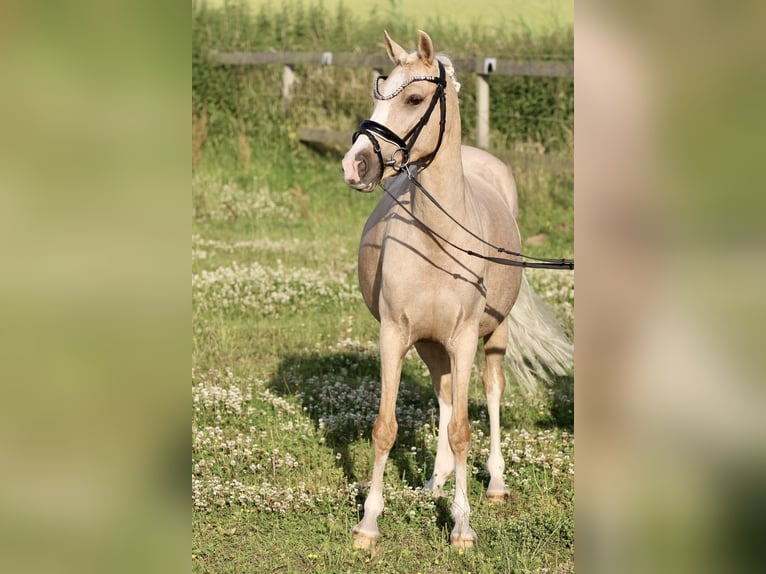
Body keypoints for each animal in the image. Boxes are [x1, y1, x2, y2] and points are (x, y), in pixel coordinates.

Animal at [344, 30, 576, 548]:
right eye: (378, 93)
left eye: (413, 99)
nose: (355, 165)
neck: (438, 235)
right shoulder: (394, 335)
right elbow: (386, 427)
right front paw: (369, 524)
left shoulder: (467, 337)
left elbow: (464, 430)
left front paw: (462, 527)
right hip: (432, 345)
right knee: (446, 394)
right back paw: (437, 479)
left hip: (493, 337)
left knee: (489, 393)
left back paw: (495, 483)